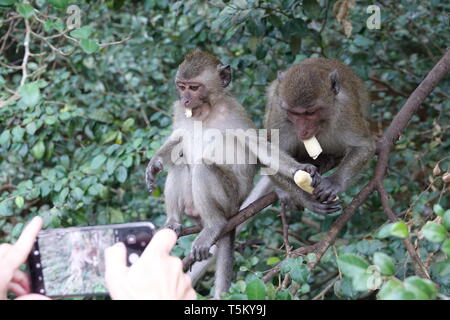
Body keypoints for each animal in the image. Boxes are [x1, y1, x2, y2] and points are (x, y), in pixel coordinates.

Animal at [145, 49, 316, 298]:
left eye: (194, 88)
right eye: (182, 86)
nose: (185, 100)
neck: (205, 112)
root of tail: (235, 211)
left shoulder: (235, 112)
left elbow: (257, 148)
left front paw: (299, 171)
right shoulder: (180, 112)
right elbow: (177, 139)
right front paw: (154, 164)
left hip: (228, 199)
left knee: (203, 168)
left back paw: (213, 226)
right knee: (180, 163)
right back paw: (174, 223)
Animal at [264, 57, 376, 208]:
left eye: (310, 112)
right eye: (293, 113)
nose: (303, 130)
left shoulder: (345, 111)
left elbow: (363, 147)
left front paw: (334, 182)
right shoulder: (279, 112)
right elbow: (269, 157)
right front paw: (306, 198)